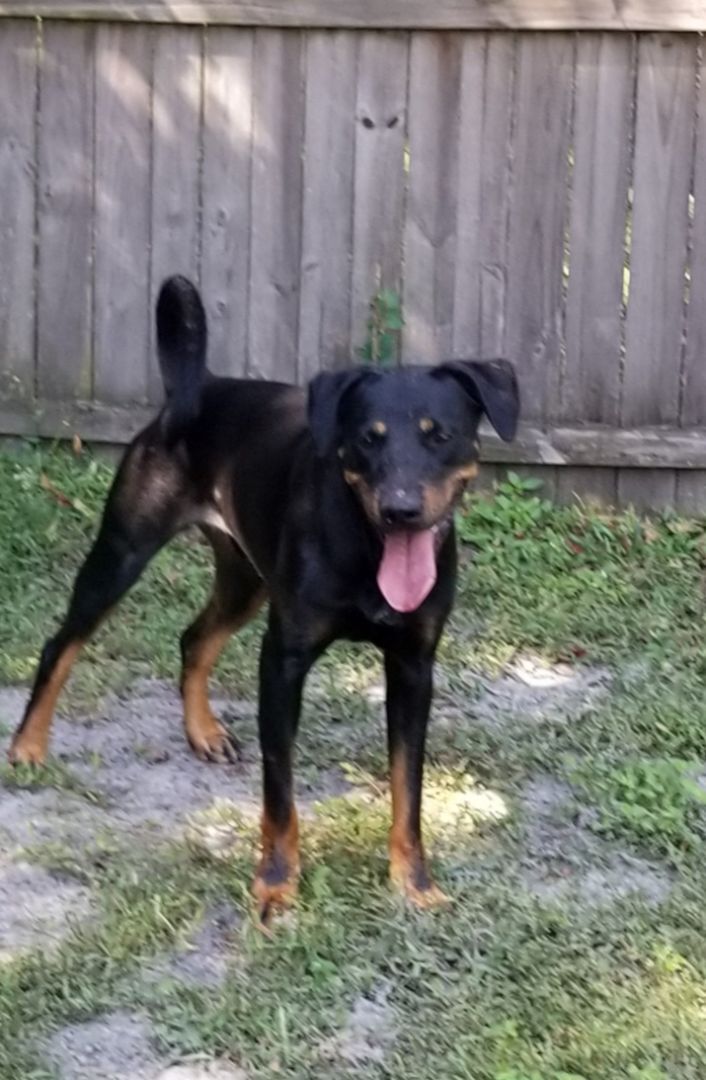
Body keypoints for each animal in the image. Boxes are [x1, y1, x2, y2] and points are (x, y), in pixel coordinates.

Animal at [8, 278, 520, 920]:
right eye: (367, 439)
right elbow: (280, 795)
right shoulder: (283, 663)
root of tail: (198, 388)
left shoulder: (413, 668)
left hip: (244, 581)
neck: (366, 546)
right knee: (62, 643)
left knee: (194, 638)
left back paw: (203, 732)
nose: (400, 510)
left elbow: (409, 790)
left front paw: (414, 884)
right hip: (122, 552)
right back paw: (28, 745)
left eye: (440, 435)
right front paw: (276, 884)